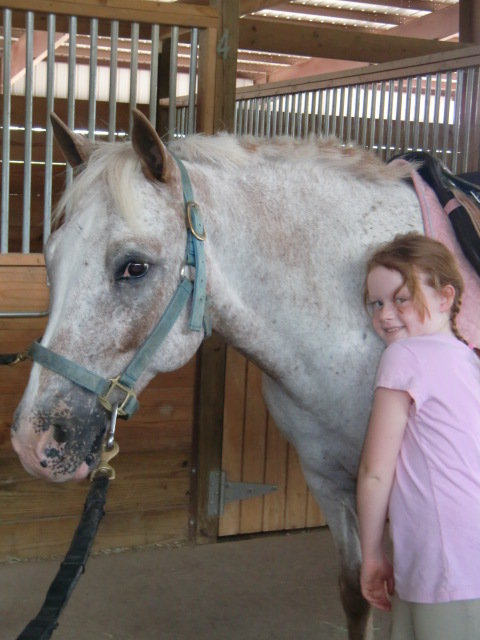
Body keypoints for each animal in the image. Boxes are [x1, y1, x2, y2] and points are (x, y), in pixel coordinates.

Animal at [10, 110, 480, 640]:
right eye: (50, 258)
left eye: (134, 267)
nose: (32, 442)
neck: (359, 312)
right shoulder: (330, 478)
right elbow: (357, 592)